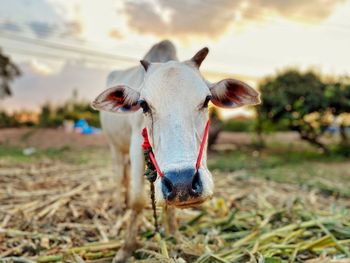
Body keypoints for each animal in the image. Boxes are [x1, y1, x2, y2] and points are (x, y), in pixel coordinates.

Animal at [91, 40, 260, 262]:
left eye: (207, 100)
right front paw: (126, 248)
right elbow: (138, 201)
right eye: (143, 105)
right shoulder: (136, 145)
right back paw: (120, 206)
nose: (183, 183)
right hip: (115, 147)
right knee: (120, 176)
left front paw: (174, 234)